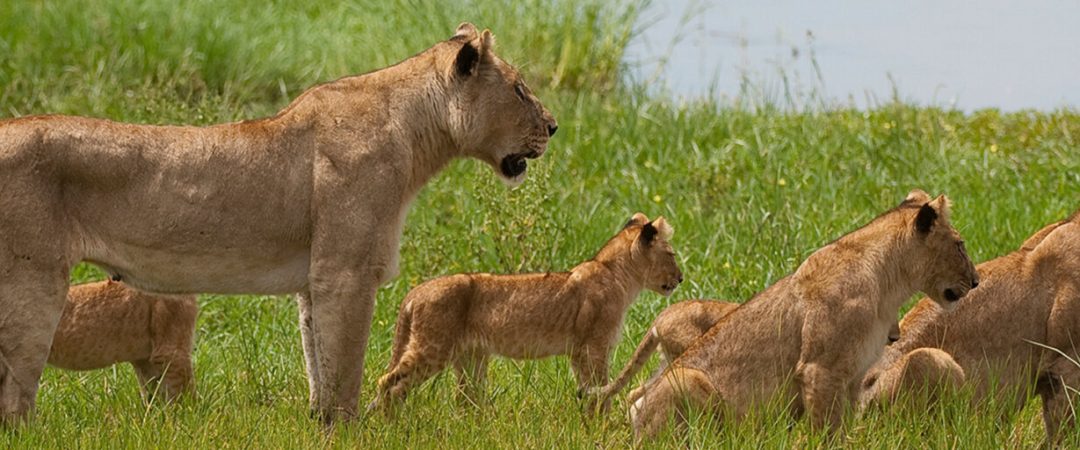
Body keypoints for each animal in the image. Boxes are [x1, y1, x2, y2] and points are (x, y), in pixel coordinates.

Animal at [368, 214, 683, 411]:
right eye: (671, 255)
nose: (680, 278)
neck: (616, 273)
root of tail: (414, 292)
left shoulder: (578, 351)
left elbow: (587, 387)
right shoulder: (593, 346)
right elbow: (601, 386)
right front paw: (601, 419)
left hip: (470, 356)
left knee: (464, 399)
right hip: (433, 349)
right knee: (389, 384)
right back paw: (393, 425)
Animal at [629, 190, 979, 440]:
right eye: (960, 244)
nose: (976, 281)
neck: (889, 285)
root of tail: (637, 423)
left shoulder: (853, 376)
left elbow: (843, 427)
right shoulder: (820, 370)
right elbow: (826, 431)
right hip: (688, 379)